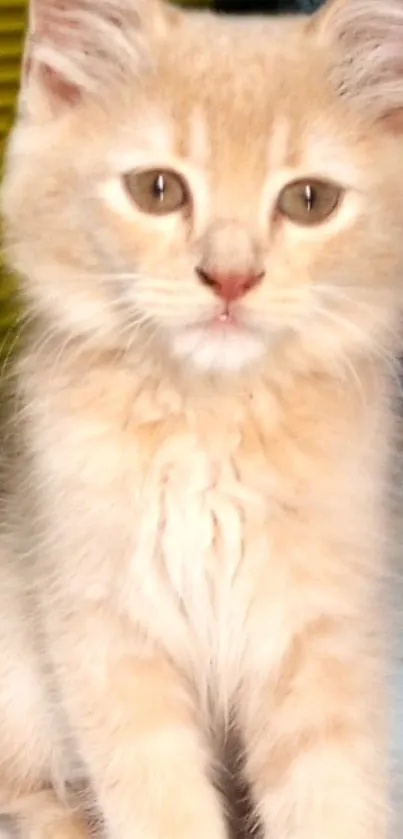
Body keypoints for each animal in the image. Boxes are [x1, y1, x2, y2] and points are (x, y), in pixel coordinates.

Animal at [0, 0, 403, 836]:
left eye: (308, 200)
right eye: (157, 189)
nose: (230, 277)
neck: (209, 426)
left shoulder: (324, 639)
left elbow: (333, 799)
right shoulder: (103, 634)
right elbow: (158, 805)